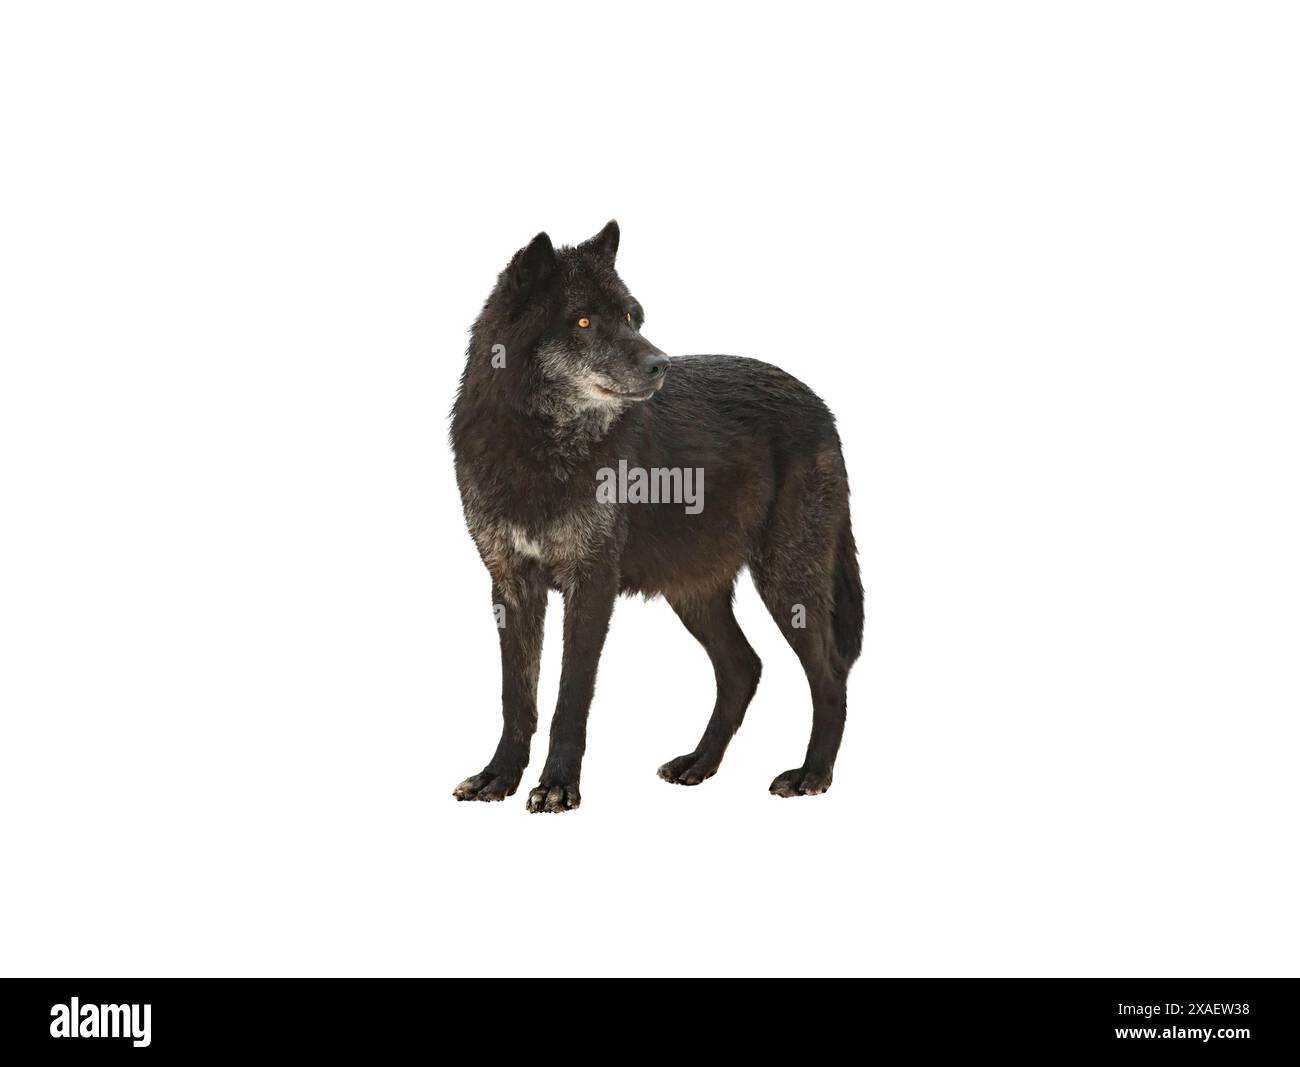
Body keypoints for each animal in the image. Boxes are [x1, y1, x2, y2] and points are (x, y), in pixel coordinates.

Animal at [450, 222, 863, 812]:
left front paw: (557, 786)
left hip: (788, 581)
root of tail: (822, 407)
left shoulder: (591, 585)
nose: (660, 364)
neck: (538, 447)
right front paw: (499, 777)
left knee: (830, 675)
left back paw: (811, 774)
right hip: (692, 591)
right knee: (744, 668)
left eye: (631, 317)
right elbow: (516, 698)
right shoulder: (510, 585)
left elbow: (569, 699)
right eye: (583, 321)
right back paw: (699, 764)